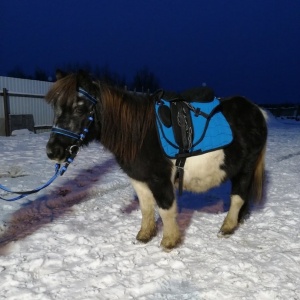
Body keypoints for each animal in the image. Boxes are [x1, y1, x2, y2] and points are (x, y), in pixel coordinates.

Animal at [46, 71, 268, 250]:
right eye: (56, 108)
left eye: (78, 109)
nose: (52, 151)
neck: (139, 134)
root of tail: (258, 112)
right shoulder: (138, 179)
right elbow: (146, 207)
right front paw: (144, 235)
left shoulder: (160, 180)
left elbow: (165, 209)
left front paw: (169, 241)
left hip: (246, 168)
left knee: (238, 196)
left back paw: (227, 227)